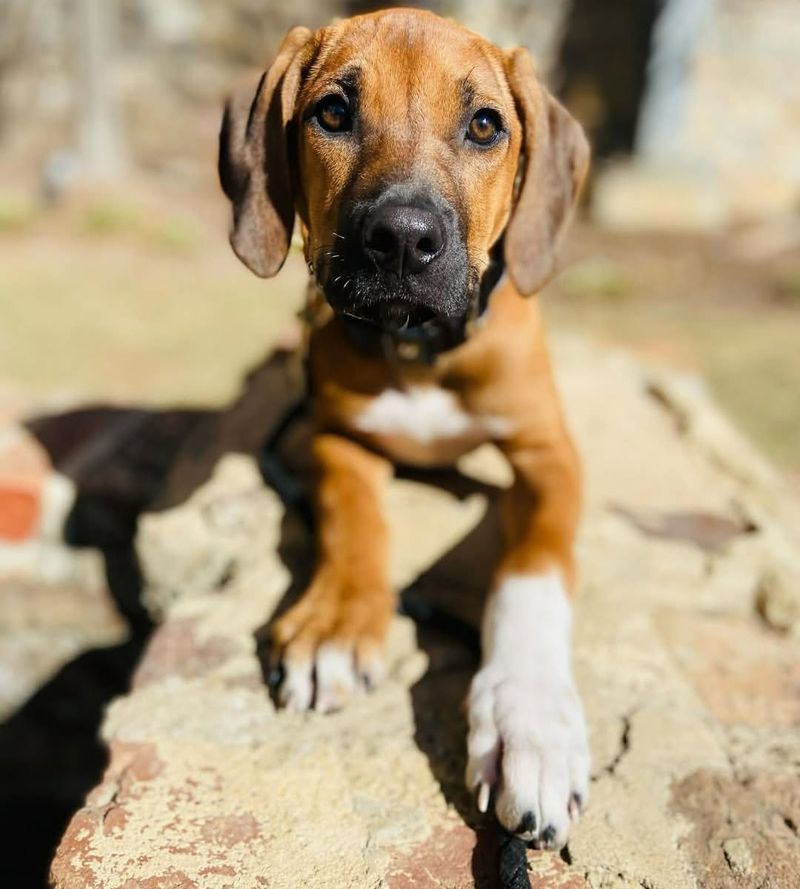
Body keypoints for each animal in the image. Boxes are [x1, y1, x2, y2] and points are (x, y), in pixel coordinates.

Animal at [222, 8, 592, 852]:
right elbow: (354, 516)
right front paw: (336, 621)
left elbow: (531, 571)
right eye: (332, 112)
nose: (401, 239)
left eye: (485, 124)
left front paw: (531, 720)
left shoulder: (550, 455)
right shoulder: (335, 433)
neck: (419, 346)